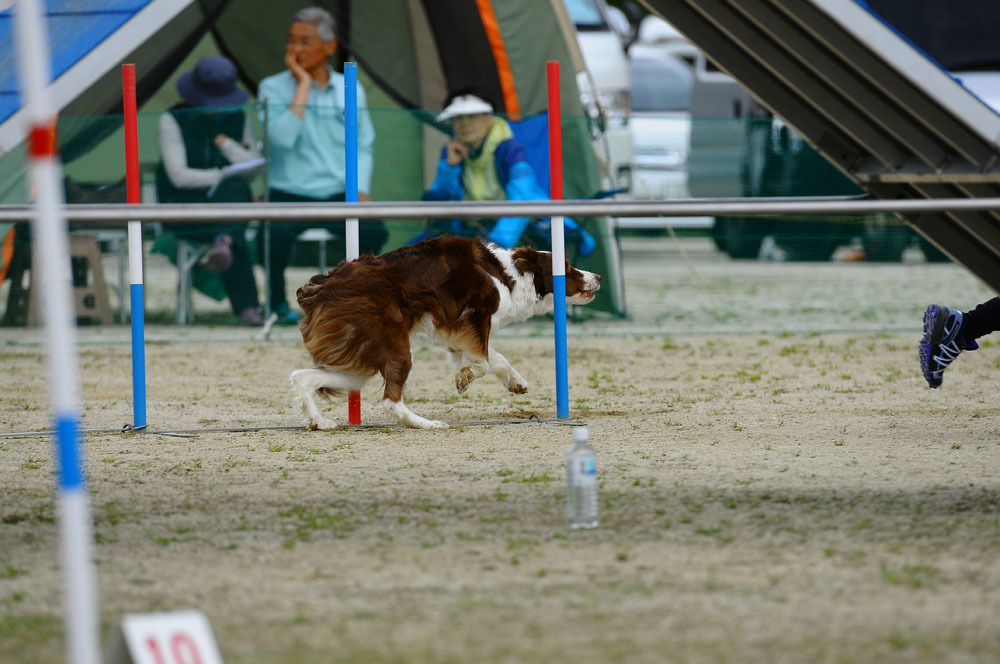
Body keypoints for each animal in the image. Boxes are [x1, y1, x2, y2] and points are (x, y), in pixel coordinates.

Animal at [290, 236, 600, 428]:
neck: (508, 275)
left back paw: (320, 421)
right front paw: (465, 377)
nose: (598, 276)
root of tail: (318, 287)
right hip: (393, 347)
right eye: (567, 267)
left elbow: (494, 358)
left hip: (360, 358)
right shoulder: (475, 318)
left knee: (301, 376)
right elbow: (484, 362)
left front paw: (516, 382)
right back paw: (427, 424)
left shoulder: (456, 331)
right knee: (391, 400)